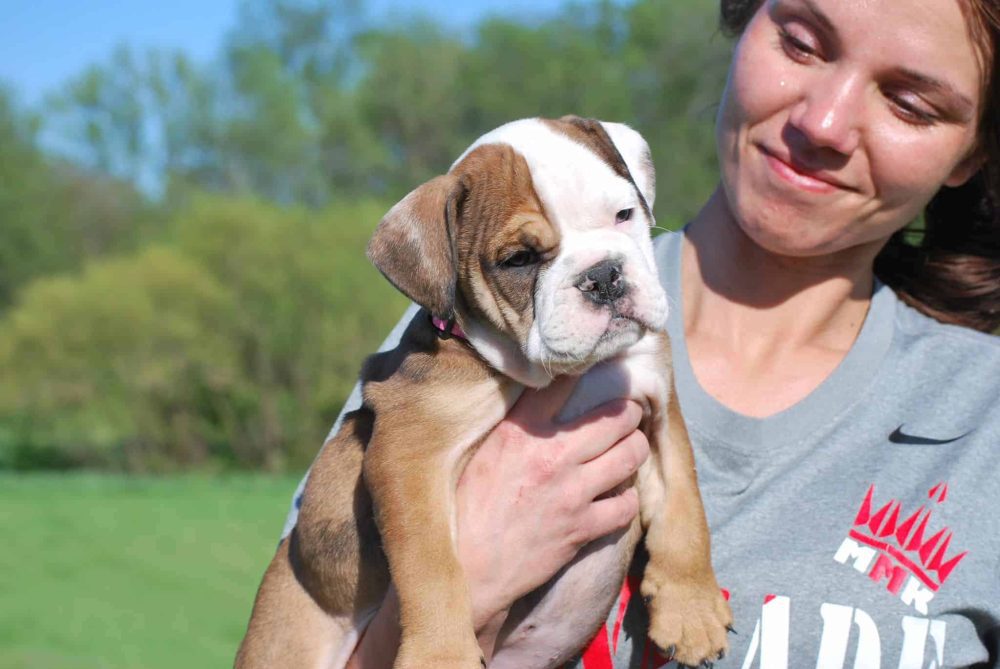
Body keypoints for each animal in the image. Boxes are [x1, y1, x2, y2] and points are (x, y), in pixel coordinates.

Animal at [235, 116, 736, 668]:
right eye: (519, 260)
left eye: (624, 214)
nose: (602, 275)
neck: (559, 372)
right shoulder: (409, 457)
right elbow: (431, 565)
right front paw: (441, 656)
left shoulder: (660, 408)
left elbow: (684, 507)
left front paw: (691, 609)